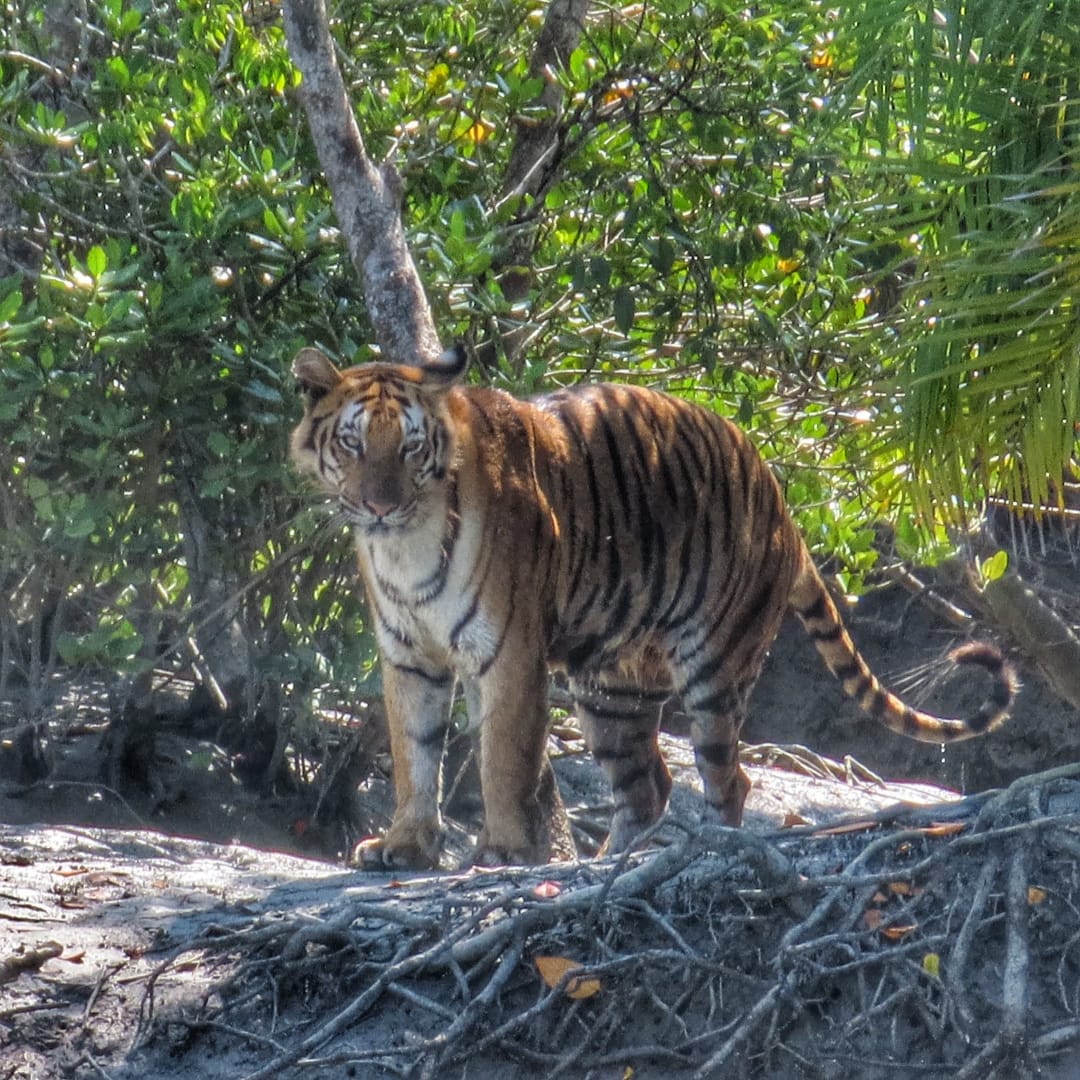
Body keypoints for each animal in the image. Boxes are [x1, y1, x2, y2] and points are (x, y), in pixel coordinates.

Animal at [291, 345, 1015, 868]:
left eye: (410, 447)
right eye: (353, 443)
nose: (379, 505)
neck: (405, 546)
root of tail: (784, 507)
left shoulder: (510, 654)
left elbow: (501, 758)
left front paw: (501, 851)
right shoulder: (409, 657)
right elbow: (414, 756)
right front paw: (404, 847)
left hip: (715, 665)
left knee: (728, 779)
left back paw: (710, 849)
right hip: (612, 689)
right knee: (648, 787)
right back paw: (609, 865)